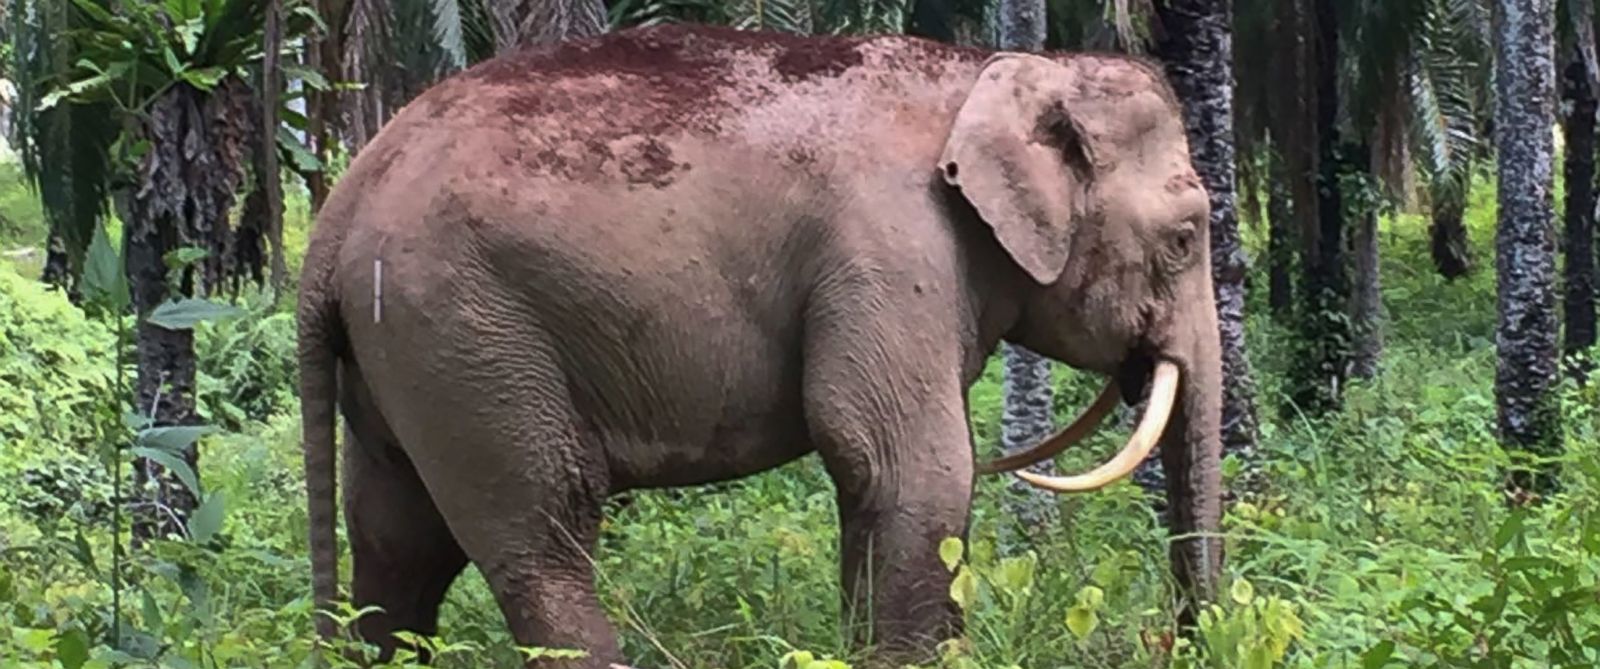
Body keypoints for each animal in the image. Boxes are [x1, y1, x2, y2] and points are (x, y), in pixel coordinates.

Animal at [297, 22, 1222, 669]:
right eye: (1185, 236)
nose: (1185, 636)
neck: (987, 70)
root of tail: (338, 212)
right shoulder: (891, 249)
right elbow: (907, 463)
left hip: (403, 349)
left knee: (397, 538)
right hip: (467, 330)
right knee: (541, 528)